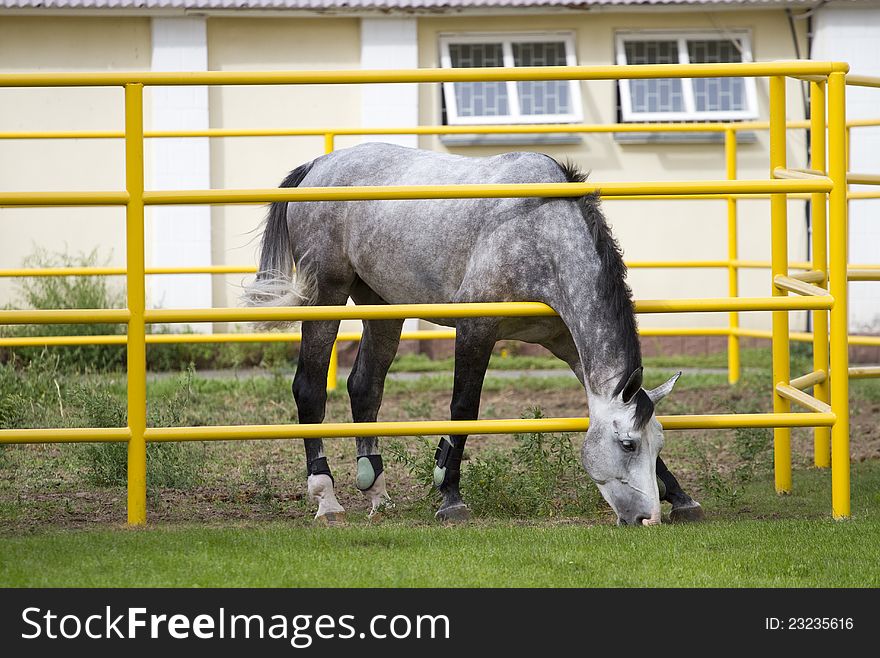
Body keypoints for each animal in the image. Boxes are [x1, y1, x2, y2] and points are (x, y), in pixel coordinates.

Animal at [244, 141, 704, 524]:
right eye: (627, 445)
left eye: (657, 444)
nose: (646, 518)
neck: (538, 230)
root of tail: (317, 165)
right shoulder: (475, 330)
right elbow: (463, 408)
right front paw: (450, 496)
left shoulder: (570, 346)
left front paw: (682, 498)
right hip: (328, 294)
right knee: (310, 389)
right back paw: (326, 499)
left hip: (382, 305)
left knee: (365, 387)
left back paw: (377, 493)